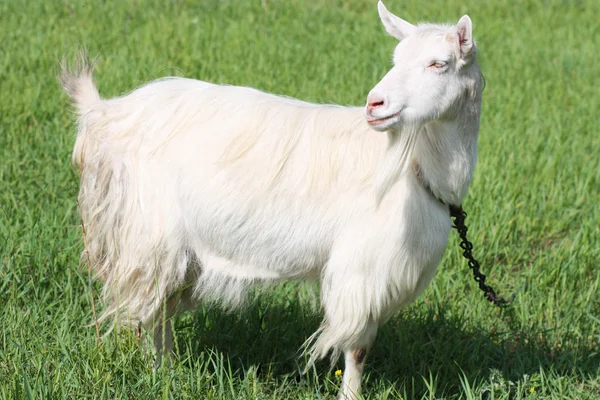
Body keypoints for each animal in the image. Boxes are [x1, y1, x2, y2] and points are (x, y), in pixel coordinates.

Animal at [61, 2, 482, 396]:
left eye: (439, 63)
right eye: (395, 59)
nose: (374, 104)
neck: (420, 167)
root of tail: (104, 113)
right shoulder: (362, 268)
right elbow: (357, 348)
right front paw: (350, 394)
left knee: (159, 309)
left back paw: (166, 373)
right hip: (147, 234)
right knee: (150, 312)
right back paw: (158, 374)